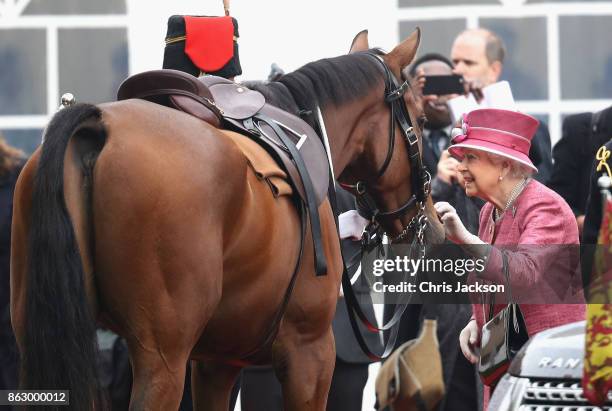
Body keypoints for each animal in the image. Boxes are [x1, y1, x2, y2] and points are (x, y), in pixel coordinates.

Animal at [10, 29, 444, 411]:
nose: (434, 226)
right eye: (420, 121)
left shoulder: (216, 362)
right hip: (161, 358)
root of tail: (98, 122)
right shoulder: (310, 352)